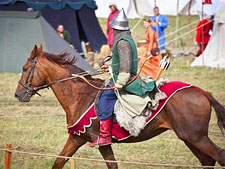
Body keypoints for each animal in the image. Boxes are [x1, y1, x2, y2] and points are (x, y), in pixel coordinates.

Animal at [14, 45, 225, 169]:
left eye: (25, 68)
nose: (18, 94)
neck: (80, 95)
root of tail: (201, 92)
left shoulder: (101, 143)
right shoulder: (76, 139)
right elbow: (59, 161)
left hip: (195, 137)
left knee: (219, 156)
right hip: (190, 138)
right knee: (208, 161)